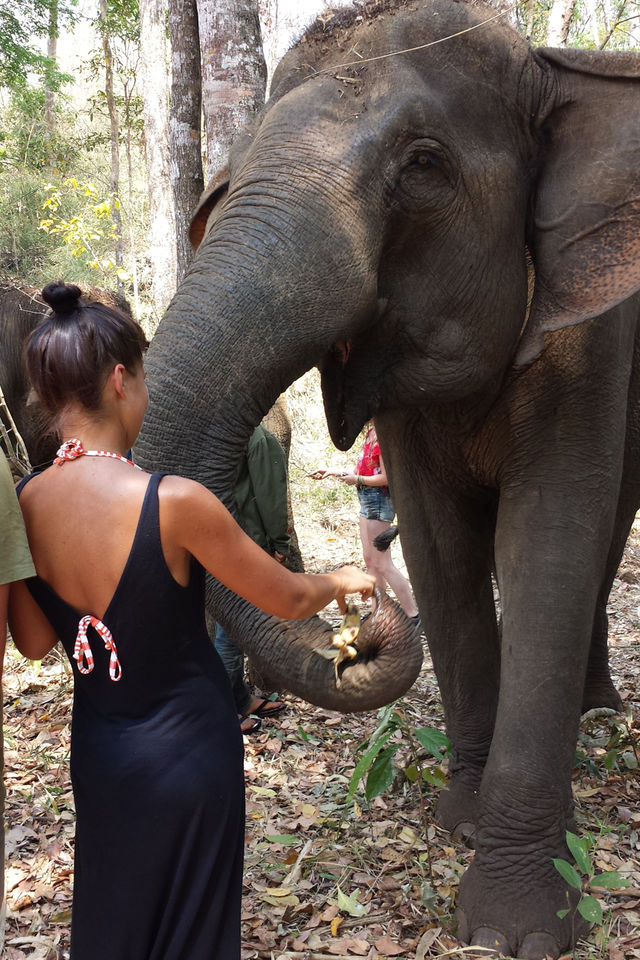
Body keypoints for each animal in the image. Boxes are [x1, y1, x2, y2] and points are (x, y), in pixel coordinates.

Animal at [135, 3, 640, 956]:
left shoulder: (594, 339)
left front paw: (514, 926)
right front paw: (462, 820)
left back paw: (597, 710)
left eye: (424, 164)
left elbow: (550, 539)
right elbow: (440, 552)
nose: (355, 627)